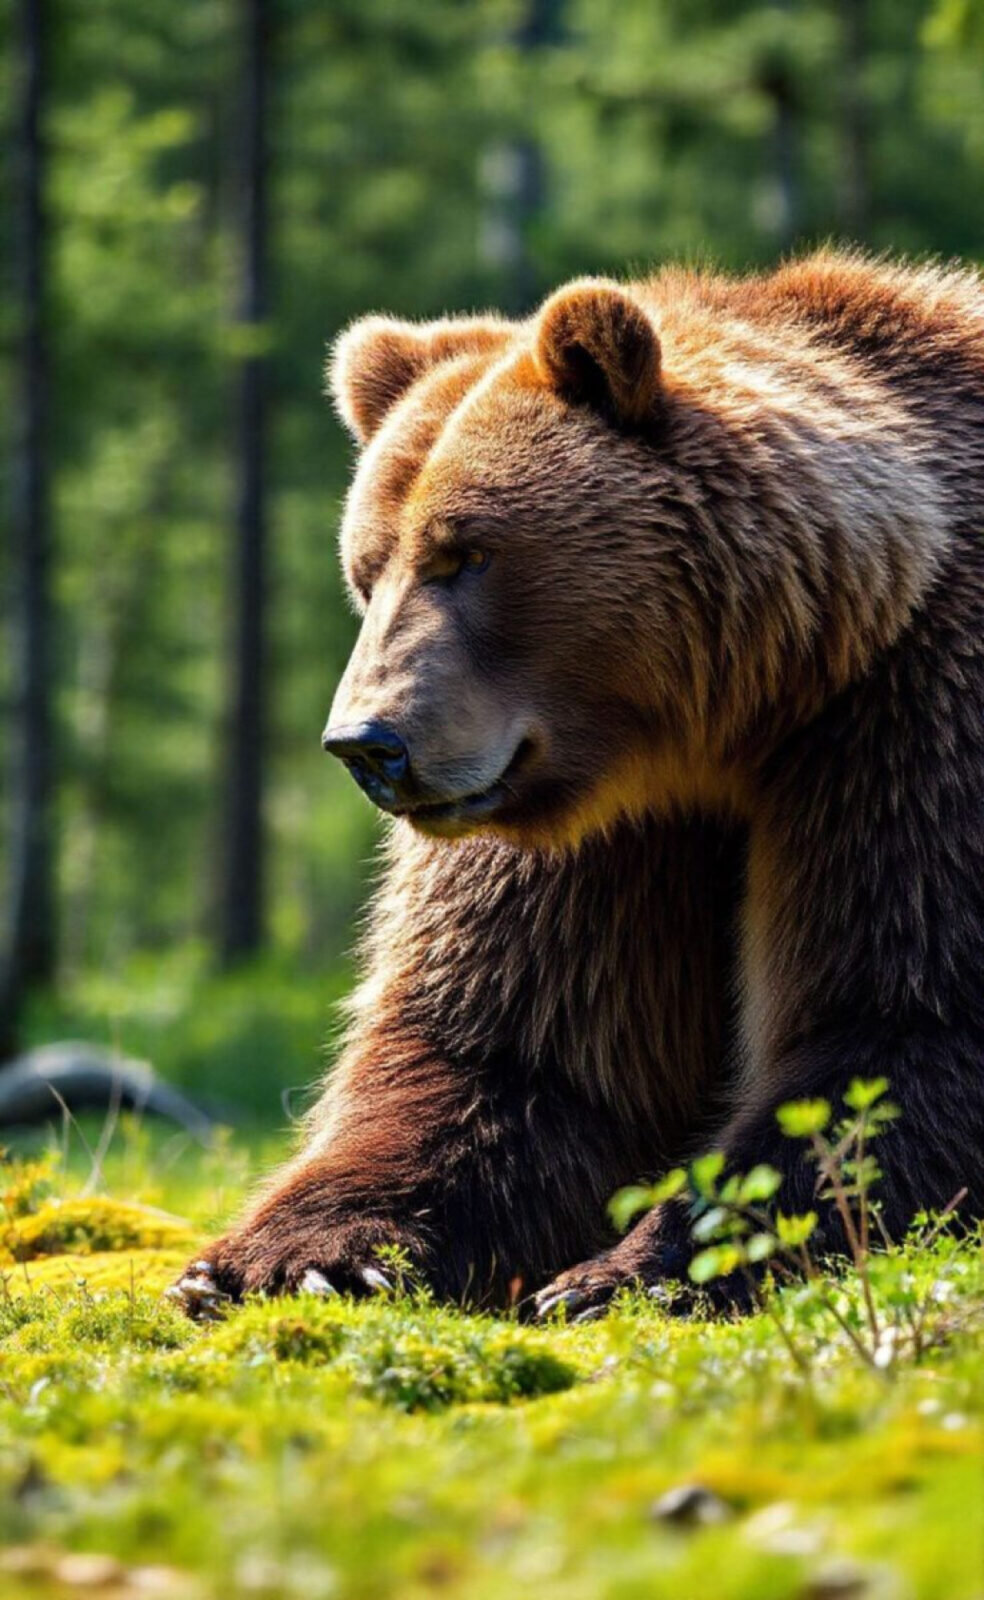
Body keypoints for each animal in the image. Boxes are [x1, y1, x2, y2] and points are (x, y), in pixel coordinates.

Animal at [174, 250, 984, 1322]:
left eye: (467, 551)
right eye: (367, 567)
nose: (367, 744)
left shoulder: (910, 714)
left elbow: (898, 1019)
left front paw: (626, 1272)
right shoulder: (588, 831)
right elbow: (518, 1049)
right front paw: (285, 1258)